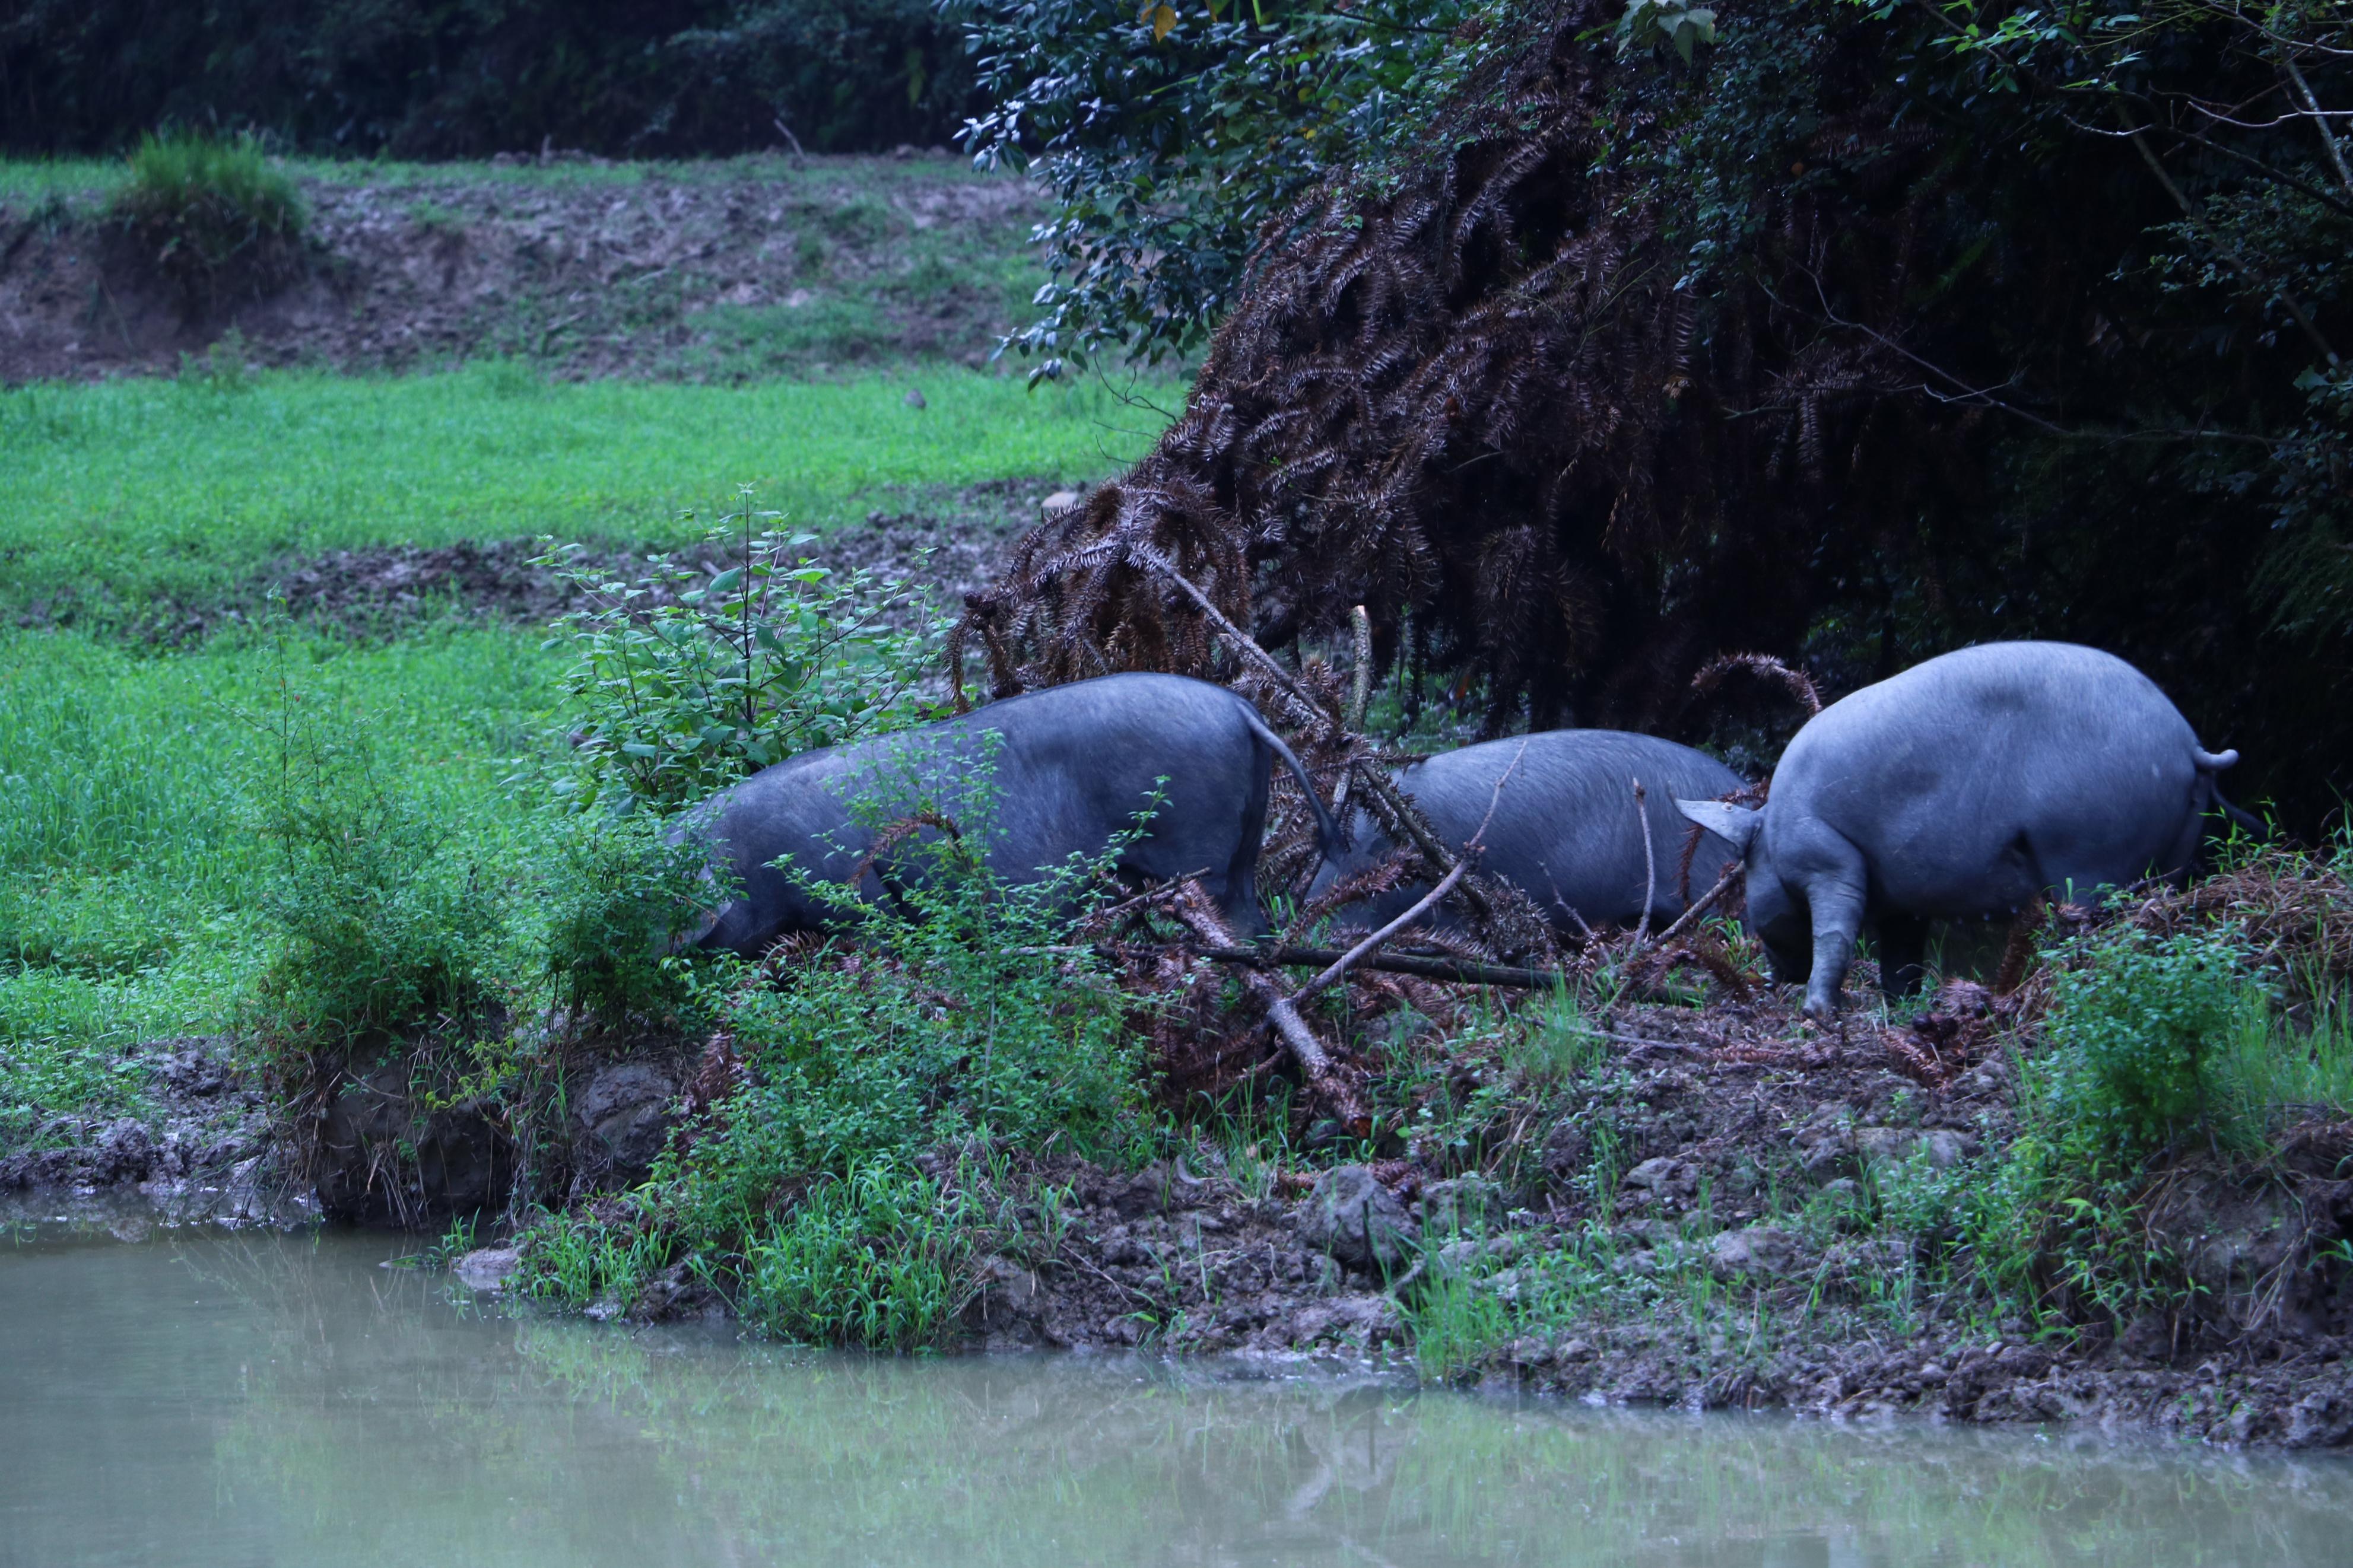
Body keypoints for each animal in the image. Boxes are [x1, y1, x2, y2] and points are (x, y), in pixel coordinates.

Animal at [1684, 639, 2249, 1020]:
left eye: (1744, 874)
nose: (1773, 982)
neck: (1774, 831)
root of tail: (2188, 746)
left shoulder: (1829, 859)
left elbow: (1835, 931)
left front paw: (1816, 1013)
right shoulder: (1901, 899)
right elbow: (1901, 958)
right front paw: (1901, 1011)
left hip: (2089, 855)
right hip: (2174, 852)